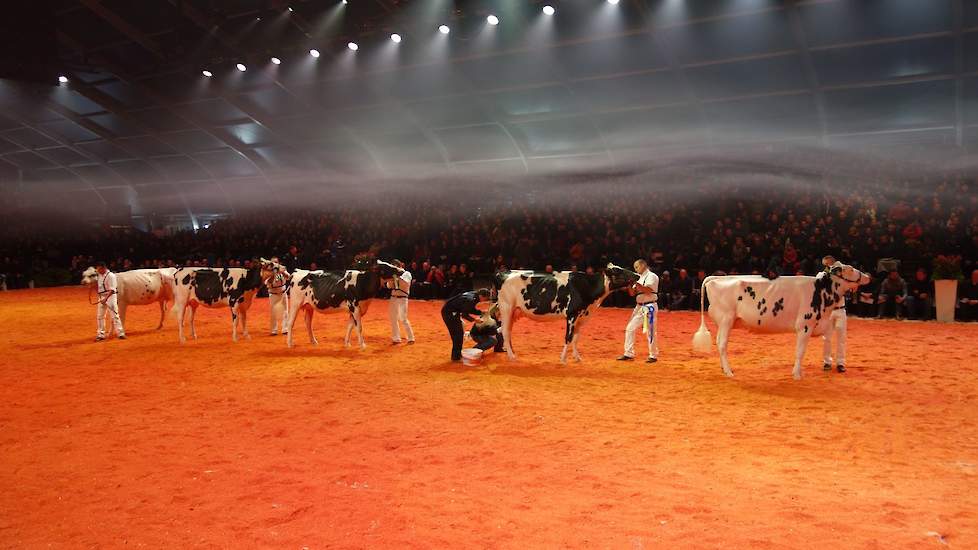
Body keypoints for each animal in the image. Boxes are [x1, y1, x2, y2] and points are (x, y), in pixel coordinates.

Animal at [496, 266, 640, 364]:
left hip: (515, 311)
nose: (638, 275)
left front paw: (577, 357)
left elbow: (576, 338)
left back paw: (512, 352)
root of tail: (503, 272)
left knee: (506, 330)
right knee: (505, 331)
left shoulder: (580, 317)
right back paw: (512, 356)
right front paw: (563, 359)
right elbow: (568, 337)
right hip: (506, 307)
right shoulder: (572, 314)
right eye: (618, 271)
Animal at [688, 264, 868, 380]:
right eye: (850, 269)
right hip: (726, 319)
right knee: (722, 344)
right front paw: (797, 375)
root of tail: (716, 278)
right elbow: (800, 352)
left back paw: (723, 368)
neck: (822, 292)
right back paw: (729, 372)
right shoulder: (805, 325)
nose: (867, 276)